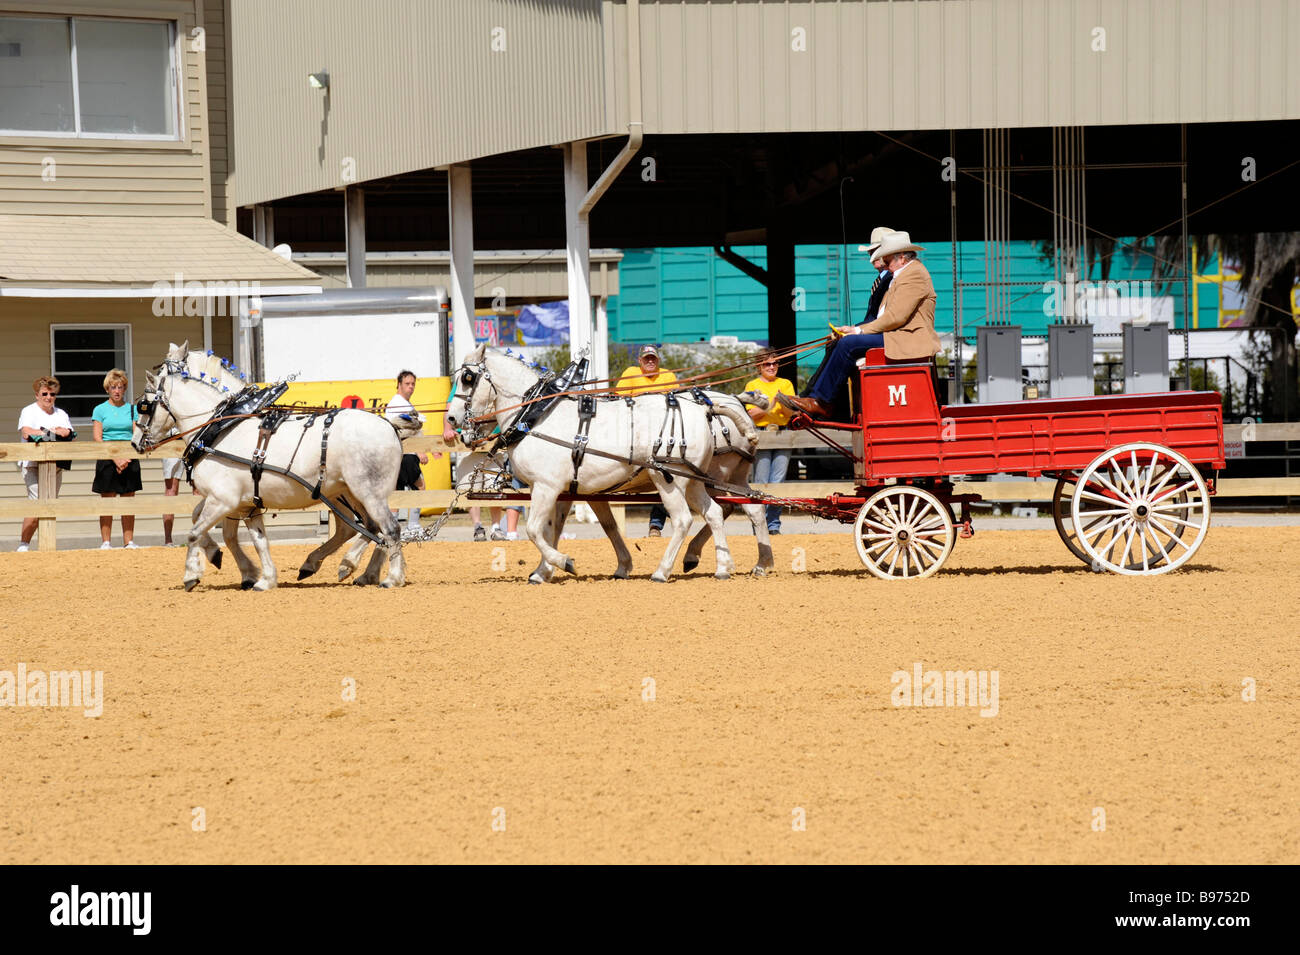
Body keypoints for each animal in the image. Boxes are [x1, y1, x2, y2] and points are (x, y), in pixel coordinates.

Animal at [132, 342, 411, 590]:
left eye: (144, 405)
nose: (136, 442)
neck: (220, 426)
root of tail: (390, 426)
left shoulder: (223, 499)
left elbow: (194, 532)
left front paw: (192, 574)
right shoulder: (244, 503)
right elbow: (255, 540)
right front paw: (260, 577)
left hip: (367, 492)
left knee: (389, 529)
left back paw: (388, 577)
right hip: (349, 493)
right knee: (370, 529)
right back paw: (354, 570)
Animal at [444, 344, 757, 583]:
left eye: (468, 378)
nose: (451, 419)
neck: (536, 414)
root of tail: (706, 409)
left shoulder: (546, 487)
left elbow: (534, 530)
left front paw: (563, 562)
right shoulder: (569, 490)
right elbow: (558, 529)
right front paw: (543, 572)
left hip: (669, 478)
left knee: (683, 519)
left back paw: (662, 571)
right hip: (693, 480)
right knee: (715, 512)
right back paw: (722, 567)